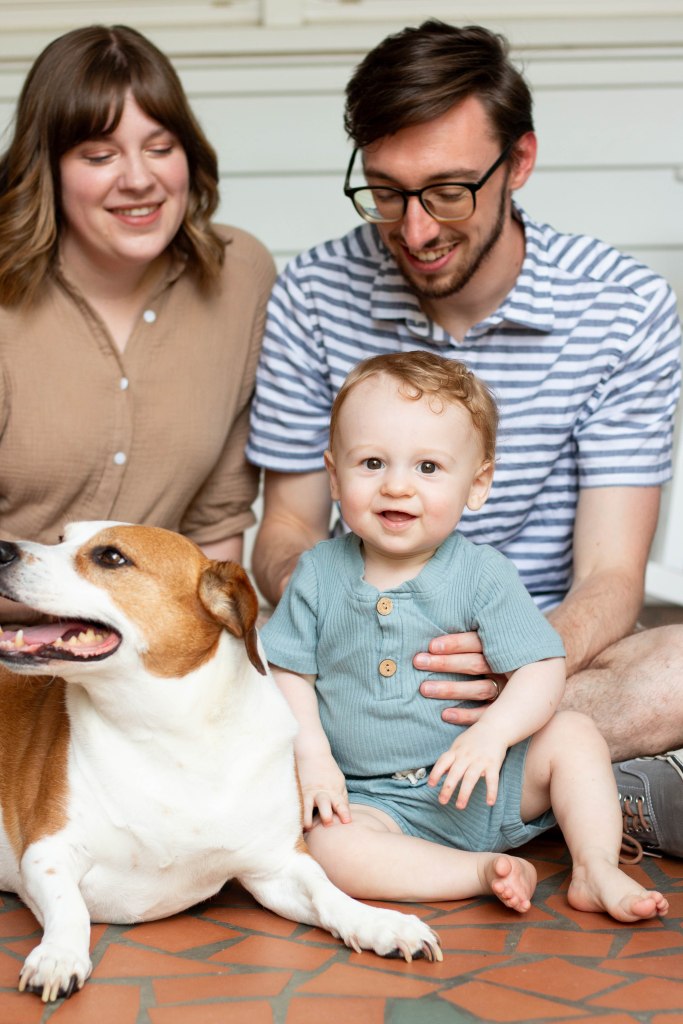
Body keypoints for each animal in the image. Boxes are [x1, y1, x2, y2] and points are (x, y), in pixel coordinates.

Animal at [0, 522, 441, 1001]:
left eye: (111, 557)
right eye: (62, 537)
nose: (2, 549)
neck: (172, 737)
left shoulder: (279, 866)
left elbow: (328, 893)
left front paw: (379, 921)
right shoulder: (47, 853)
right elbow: (70, 908)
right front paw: (59, 954)